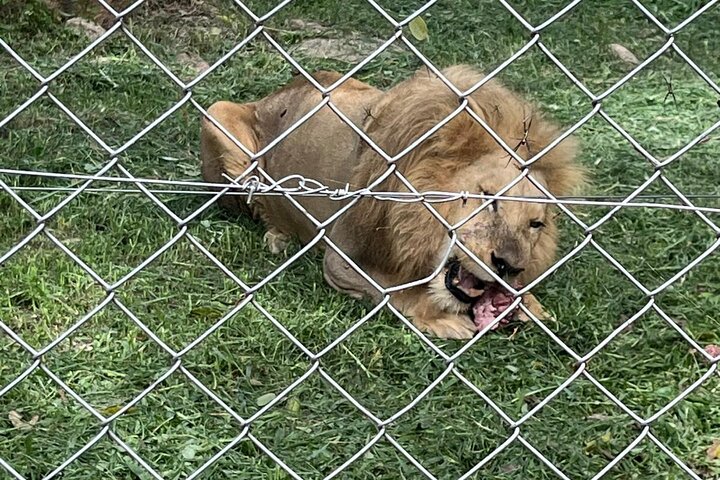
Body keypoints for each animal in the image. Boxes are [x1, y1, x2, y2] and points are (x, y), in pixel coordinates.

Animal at [200, 65, 584, 339]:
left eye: (536, 224)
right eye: (488, 199)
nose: (509, 266)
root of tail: (267, 98)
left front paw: (528, 303)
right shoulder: (340, 257)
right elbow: (390, 290)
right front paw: (440, 318)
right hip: (217, 115)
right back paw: (278, 236)